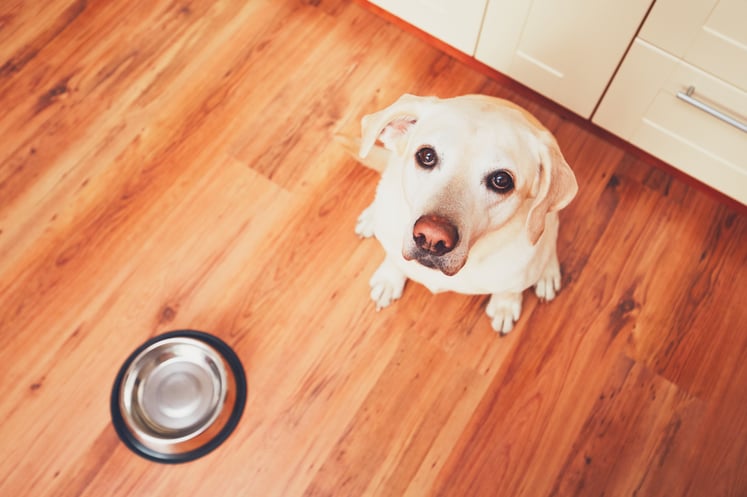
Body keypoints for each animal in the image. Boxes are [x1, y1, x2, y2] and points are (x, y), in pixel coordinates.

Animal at [346, 93, 580, 334]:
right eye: (427, 155)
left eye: (501, 180)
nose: (431, 237)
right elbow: (394, 260)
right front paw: (389, 279)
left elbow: (510, 290)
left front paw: (505, 306)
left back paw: (548, 273)